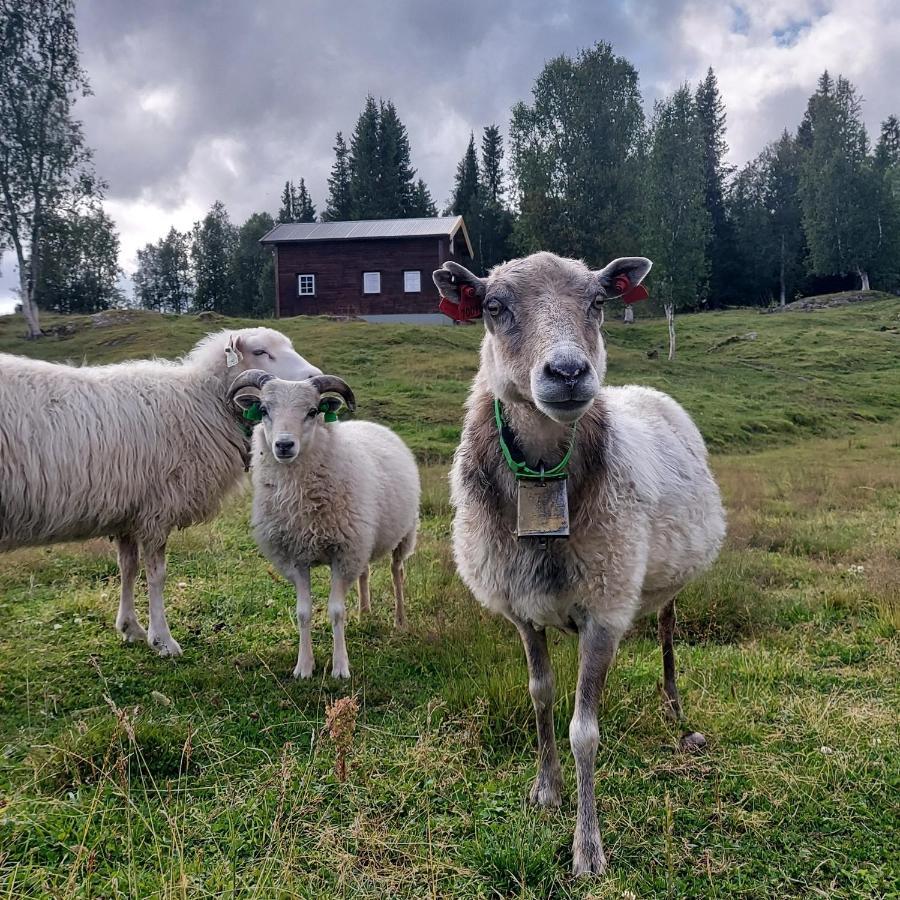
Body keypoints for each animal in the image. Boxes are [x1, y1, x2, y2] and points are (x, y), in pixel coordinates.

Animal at [0, 326, 322, 656]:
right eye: (260, 352)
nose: (315, 377)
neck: (202, 402)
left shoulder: (128, 511)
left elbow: (127, 568)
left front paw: (130, 627)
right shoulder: (155, 510)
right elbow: (156, 575)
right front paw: (163, 640)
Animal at [229, 370, 418, 680]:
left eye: (312, 411)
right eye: (265, 410)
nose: (284, 445)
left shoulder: (342, 554)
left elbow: (336, 611)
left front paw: (340, 667)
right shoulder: (298, 558)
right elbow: (303, 612)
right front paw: (304, 667)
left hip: (404, 533)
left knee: (397, 572)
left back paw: (400, 619)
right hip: (362, 540)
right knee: (365, 573)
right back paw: (364, 614)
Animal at [432, 253, 728, 880]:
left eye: (597, 302)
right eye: (494, 307)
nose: (568, 372)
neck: (546, 473)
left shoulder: (604, 613)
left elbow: (583, 733)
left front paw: (587, 848)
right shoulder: (523, 611)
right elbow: (541, 696)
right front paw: (546, 790)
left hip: (662, 582)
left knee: (667, 633)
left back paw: (675, 710)